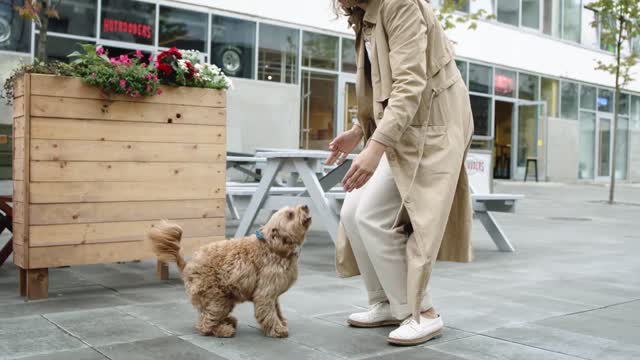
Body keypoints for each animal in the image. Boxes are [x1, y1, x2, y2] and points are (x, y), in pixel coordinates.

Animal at [148, 205, 312, 338]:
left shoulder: (273, 293)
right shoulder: (265, 292)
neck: (273, 245)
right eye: (290, 214)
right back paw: (223, 330)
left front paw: (281, 322)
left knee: (205, 315)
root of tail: (187, 265)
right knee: (204, 324)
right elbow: (268, 312)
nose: (305, 205)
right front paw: (277, 329)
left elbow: (277, 310)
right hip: (217, 298)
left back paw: (228, 321)